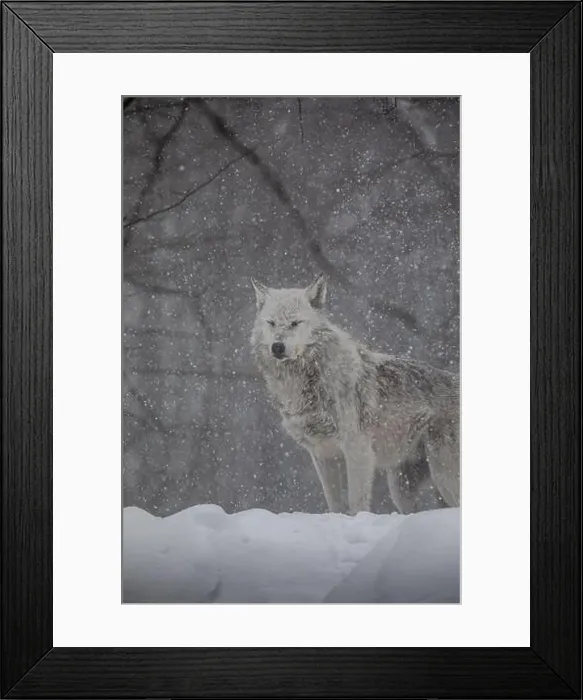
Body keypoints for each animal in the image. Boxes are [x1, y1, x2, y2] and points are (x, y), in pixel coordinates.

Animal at [250, 274, 460, 515]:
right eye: (271, 323)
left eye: (295, 323)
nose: (277, 346)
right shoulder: (323, 455)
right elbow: (334, 504)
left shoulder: (357, 449)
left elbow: (355, 503)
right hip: (401, 487)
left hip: (443, 478)